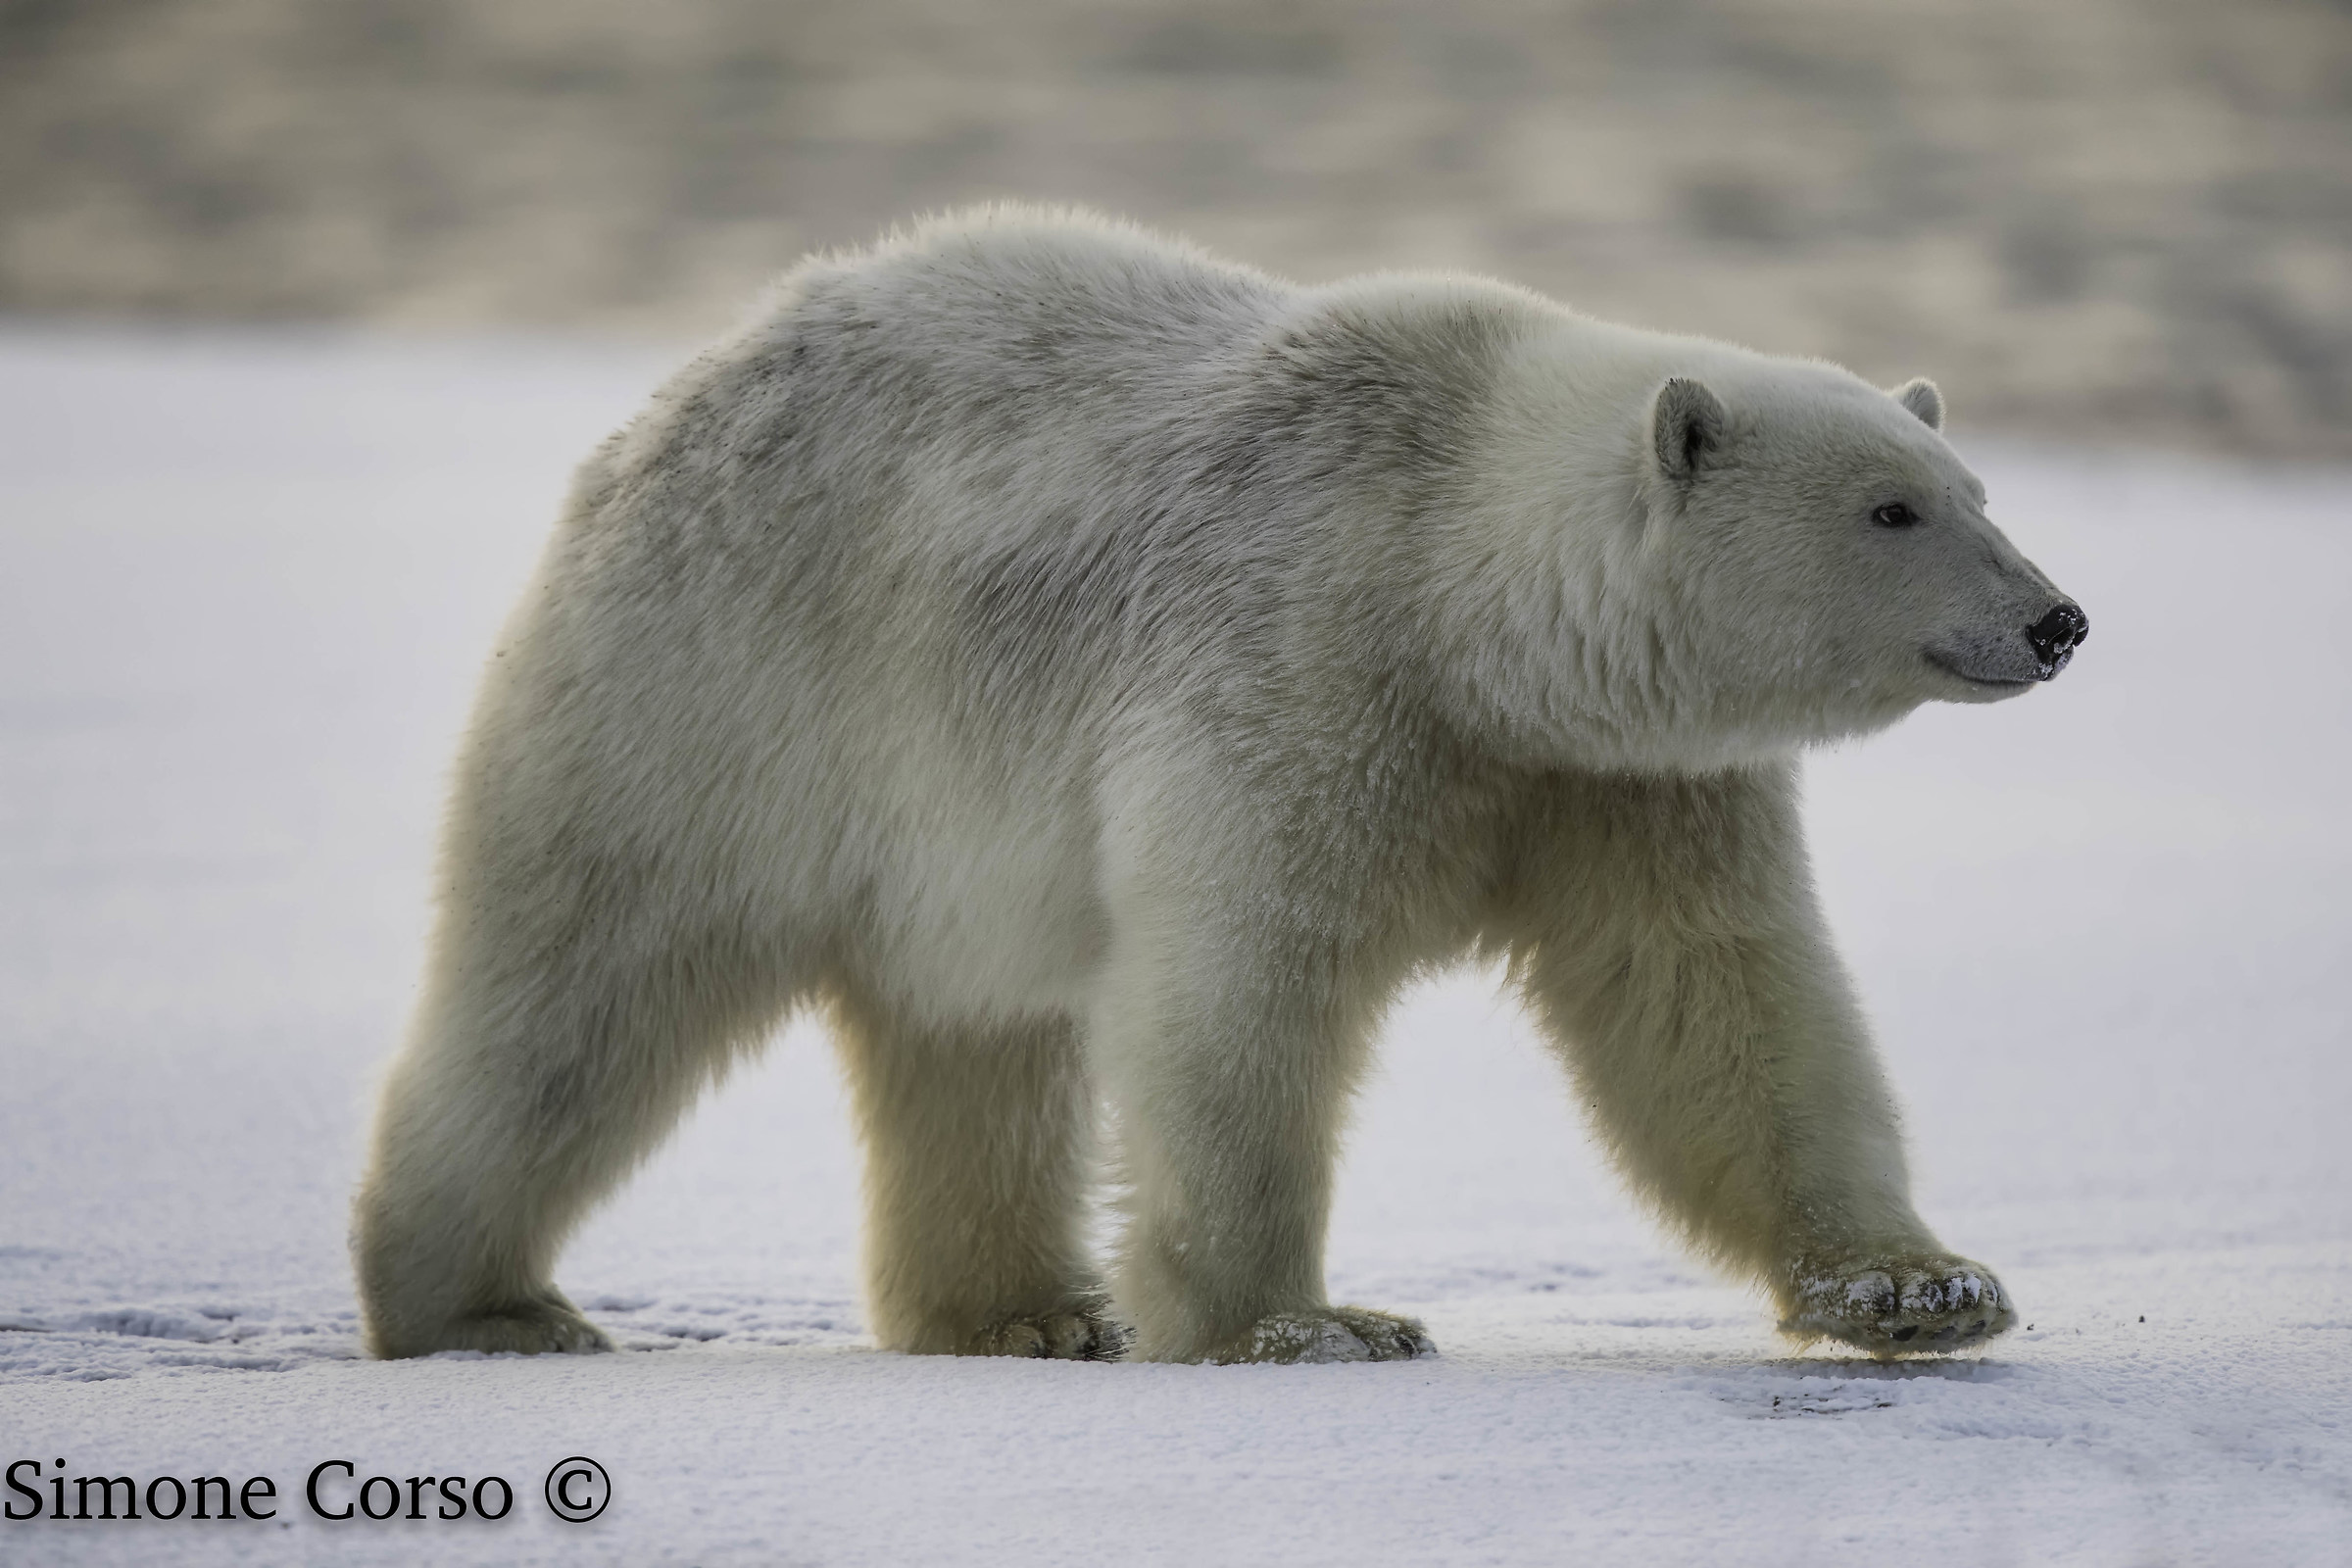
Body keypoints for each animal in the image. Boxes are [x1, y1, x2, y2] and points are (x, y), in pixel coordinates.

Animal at [353, 206, 2085, 1365]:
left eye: (1977, 484)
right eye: (1890, 509)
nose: (2056, 619)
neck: (1458, 590)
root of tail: (676, 392)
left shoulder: (1614, 777)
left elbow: (1719, 998)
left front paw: (1922, 1288)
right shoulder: (1300, 663)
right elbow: (1244, 979)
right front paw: (1310, 1324)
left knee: (975, 1045)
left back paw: (1024, 1316)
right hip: (720, 686)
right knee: (584, 980)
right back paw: (483, 1304)